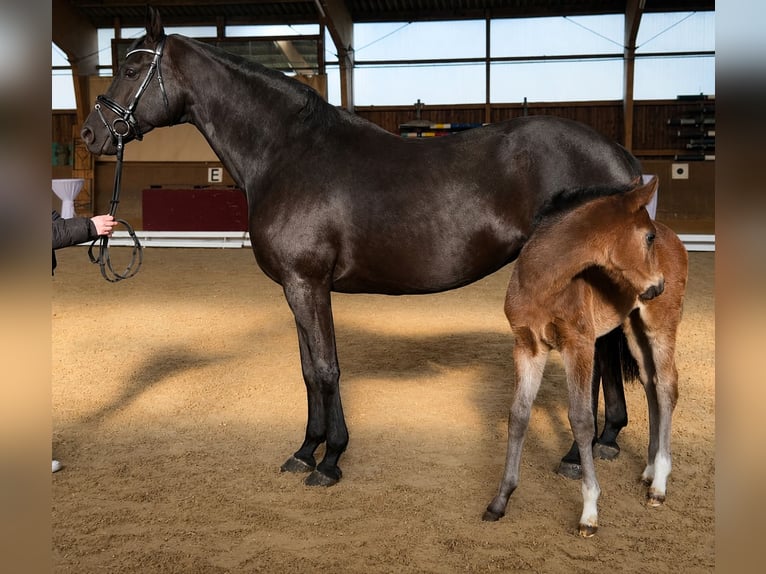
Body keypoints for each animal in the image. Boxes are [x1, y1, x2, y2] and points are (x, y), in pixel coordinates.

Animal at [81, 8, 642, 488]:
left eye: (131, 68)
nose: (91, 133)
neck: (286, 152)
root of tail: (618, 155)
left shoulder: (307, 284)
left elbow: (327, 369)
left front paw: (330, 460)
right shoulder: (297, 288)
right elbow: (309, 370)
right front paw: (305, 450)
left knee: (595, 352)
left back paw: (578, 454)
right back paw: (604, 439)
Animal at [482, 177, 688, 536]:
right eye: (647, 237)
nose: (658, 286)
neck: (542, 283)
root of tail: (675, 237)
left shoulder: (578, 345)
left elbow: (581, 419)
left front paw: (589, 512)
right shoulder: (527, 347)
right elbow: (518, 415)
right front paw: (500, 501)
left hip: (659, 324)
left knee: (666, 386)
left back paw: (659, 484)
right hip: (633, 328)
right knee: (650, 384)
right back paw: (649, 470)